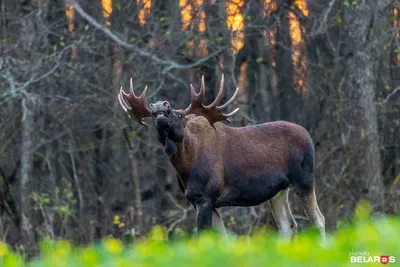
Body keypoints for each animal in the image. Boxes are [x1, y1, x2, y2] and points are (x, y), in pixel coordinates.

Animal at [117, 75, 324, 239]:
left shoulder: (204, 197)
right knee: (288, 225)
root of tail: (308, 136)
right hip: (278, 191)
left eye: (179, 114)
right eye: (154, 113)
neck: (185, 166)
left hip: (304, 180)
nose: (160, 104)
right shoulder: (198, 201)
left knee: (318, 220)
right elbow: (222, 237)